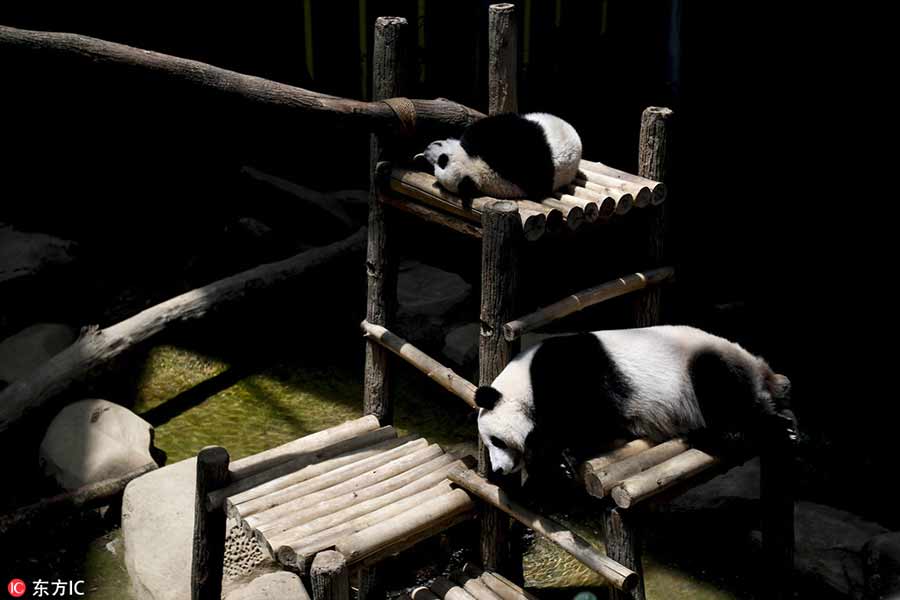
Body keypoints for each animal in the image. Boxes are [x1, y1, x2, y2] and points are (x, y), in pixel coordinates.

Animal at [474, 324, 792, 488]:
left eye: (496, 441)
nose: (499, 470)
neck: (525, 380)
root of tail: (762, 369)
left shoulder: (572, 371)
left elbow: (591, 417)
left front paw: (553, 455)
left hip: (705, 364)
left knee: (725, 395)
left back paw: (775, 430)